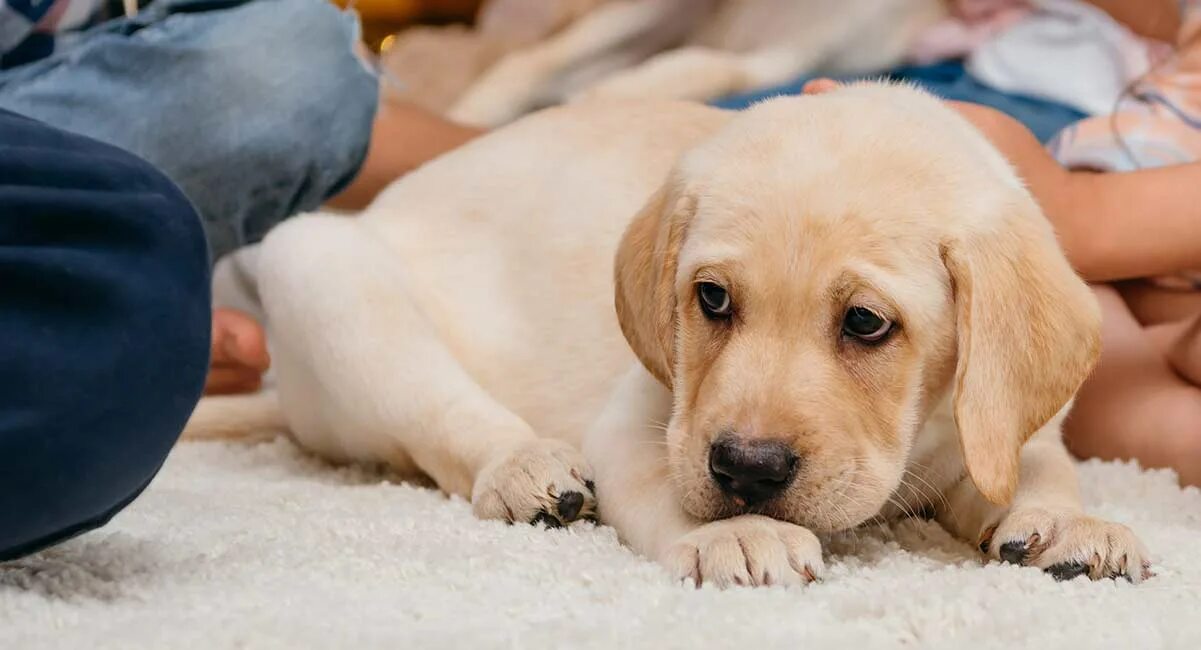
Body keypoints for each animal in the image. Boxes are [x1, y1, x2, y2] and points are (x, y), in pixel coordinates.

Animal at [189, 83, 1152, 586]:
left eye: (866, 323)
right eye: (712, 299)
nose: (747, 471)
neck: (917, 439)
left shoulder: (999, 424)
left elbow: (1038, 469)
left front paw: (1069, 524)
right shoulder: (643, 420)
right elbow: (663, 482)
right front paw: (733, 535)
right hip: (319, 268)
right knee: (449, 423)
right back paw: (529, 470)